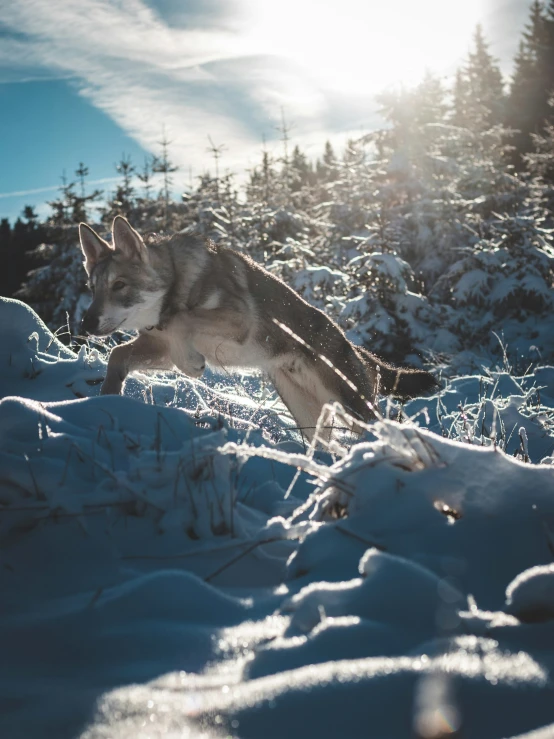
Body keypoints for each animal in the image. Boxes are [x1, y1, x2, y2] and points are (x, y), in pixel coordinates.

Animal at [80, 217, 438, 442]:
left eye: (120, 285)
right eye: (92, 288)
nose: (86, 322)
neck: (175, 286)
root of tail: (354, 346)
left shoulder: (236, 320)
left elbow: (184, 320)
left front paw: (192, 364)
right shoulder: (160, 348)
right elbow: (117, 355)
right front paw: (105, 402)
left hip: (355, 408)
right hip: (311, 418)